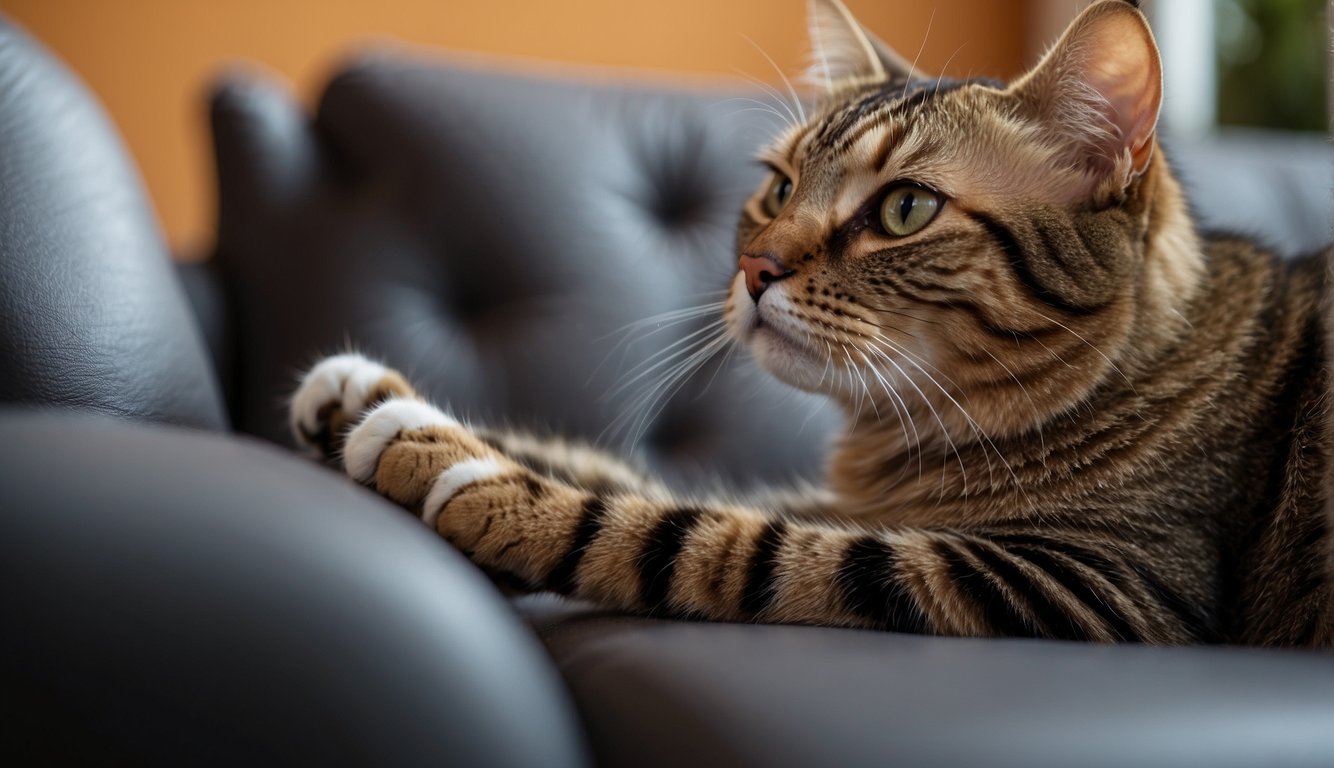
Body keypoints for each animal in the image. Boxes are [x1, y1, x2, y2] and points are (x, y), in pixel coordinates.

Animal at [289, 0, 1334, 645]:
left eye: (905, 209)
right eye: (779, 187)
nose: (755, 267)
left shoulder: (1087, 585)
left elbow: (702, 535)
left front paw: (465, 472)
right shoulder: (861, 507)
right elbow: (654, 478)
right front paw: (373, 401)